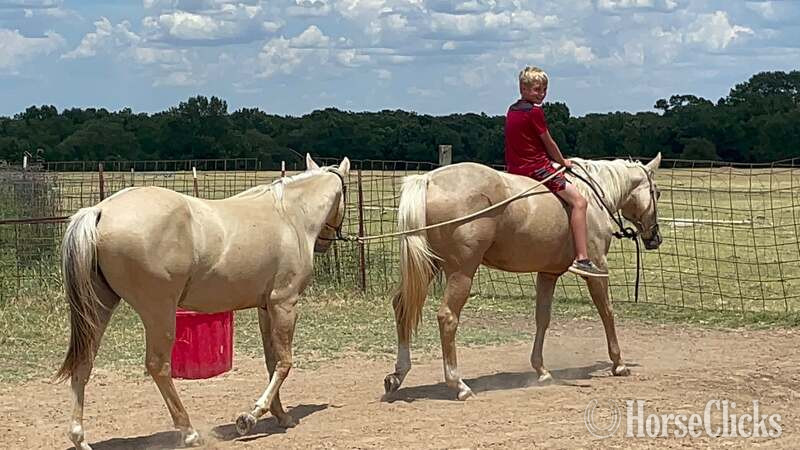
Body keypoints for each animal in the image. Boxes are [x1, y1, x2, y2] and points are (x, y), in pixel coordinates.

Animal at [56, 154, 350, 449]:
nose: (324, 243)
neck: (290, 216)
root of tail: (100, 210)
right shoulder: (285, 304)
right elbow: (284, 363)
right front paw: (250, 417)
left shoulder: (266, 308)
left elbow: (271, 361)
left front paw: (280, 415)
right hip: (159, 312)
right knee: (158, 366)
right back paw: (189, 432)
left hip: (99, 308)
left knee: (84, 361)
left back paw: (79, 437)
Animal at [383, 154, 663, 400]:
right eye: (657, 193)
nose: (655, 238)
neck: (591, 196)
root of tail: (429, 179)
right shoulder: (597, 269)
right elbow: (607, 313)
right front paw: (619, 363)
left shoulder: (548, 273)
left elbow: (542, 319)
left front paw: (542, 371)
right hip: (461, 272)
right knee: (447, 317)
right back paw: (458, 384)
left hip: (429, 266)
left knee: (401, 307)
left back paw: (398, 375)